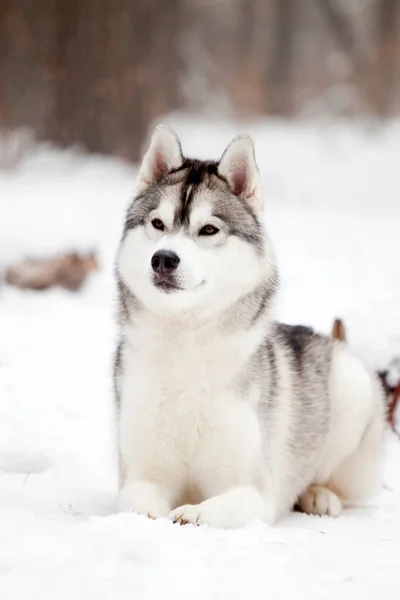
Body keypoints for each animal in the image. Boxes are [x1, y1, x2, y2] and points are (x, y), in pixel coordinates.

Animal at [113, 124, 384, 528]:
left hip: (353, 387)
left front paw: (192, 513)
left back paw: (319, 495)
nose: (163, 259)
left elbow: (217, 508)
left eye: (209, 229)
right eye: (158, 224)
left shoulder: (253, 493)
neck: (187, 348)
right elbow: (136, 502)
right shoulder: (140, 475)